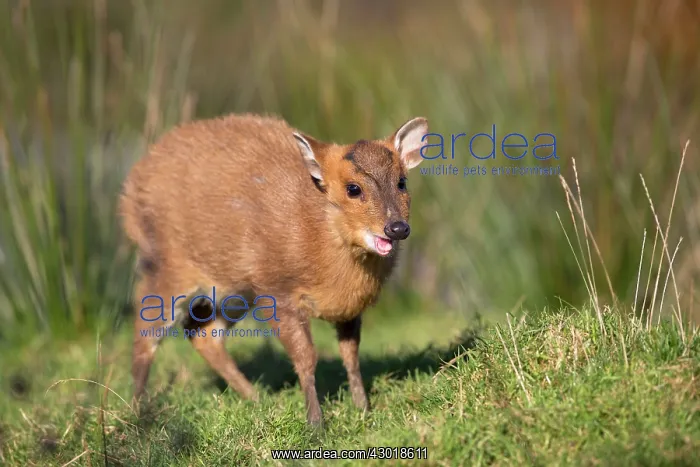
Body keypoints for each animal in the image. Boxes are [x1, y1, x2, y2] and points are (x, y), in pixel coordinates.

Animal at [118, 113, 429, 429]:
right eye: (353, 188)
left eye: (402, 181)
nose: (397, 228)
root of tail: (130, 190)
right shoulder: (278, 292)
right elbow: (306, 357)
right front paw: (316, 424)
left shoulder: (349, 308)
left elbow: (351, 355)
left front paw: (364, 410)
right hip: (168, 267)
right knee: (145, 334)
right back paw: (139, 413)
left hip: (234, 291)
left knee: (202, 334)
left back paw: (258, 400)